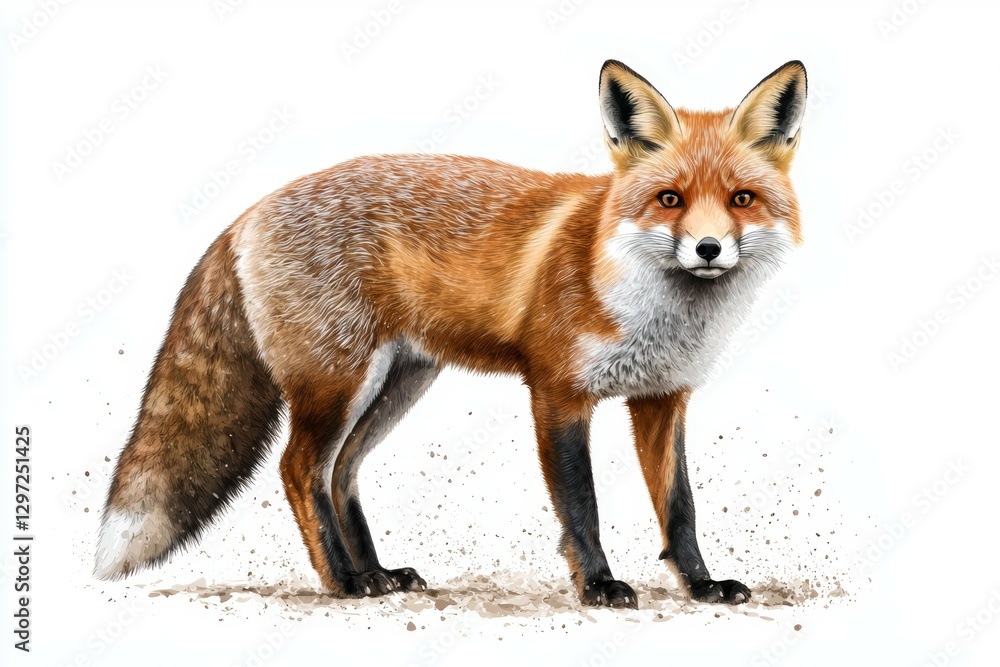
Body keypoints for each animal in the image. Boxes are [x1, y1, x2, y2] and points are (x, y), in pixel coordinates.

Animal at [95, 59, 807, 609]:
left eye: (741, 199)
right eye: (670, 199)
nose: (709, 249)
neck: (653, 310)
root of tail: (246, 213)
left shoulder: (662, 397)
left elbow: (680, 508)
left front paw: (703, 586)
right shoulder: (558, 392)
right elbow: (582, 506)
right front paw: (599, 586)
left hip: (397, 385)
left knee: (342, 471)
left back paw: (378, 572)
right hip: (339, 384)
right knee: (300, 468)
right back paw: (345, 582)